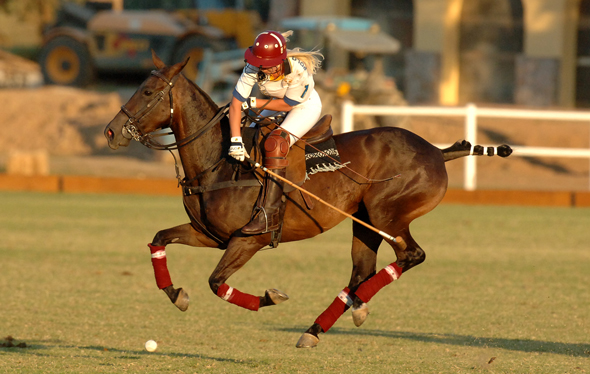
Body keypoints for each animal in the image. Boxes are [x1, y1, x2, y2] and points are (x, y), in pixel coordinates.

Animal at [104, 51, 512, 348]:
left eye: (147, 92)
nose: (111, 132)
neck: (218, 162)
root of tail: (436, 152)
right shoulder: (208, 234)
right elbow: (159, 239)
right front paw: (176, 294)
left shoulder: (249, 239)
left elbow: (216, 282)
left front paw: (270, 297)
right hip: (365, 221)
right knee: (362, 270)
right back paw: (328, 322)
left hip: (388, 215)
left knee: (410, 256)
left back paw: (350, 309)